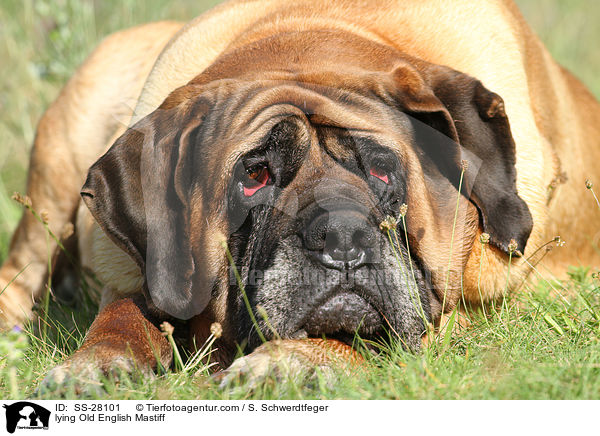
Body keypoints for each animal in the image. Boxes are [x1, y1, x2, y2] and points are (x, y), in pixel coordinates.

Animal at [1, 0, 600, 388]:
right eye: (255, 176)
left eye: (382, 171)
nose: (342, 238)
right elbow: (122, 316)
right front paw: (95, 365)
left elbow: (366, 333)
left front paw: (291, 361)